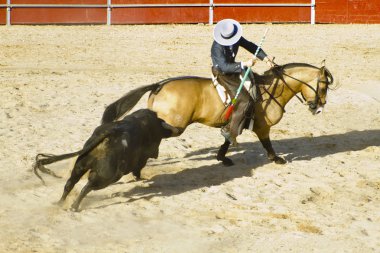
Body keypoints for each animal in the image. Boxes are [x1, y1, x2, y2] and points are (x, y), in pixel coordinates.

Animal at [33, 109, 176, 211]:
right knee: (87, 187)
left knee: (70, 184)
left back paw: (59, 203)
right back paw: (74, 207)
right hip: (107, 177)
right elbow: (138, 169)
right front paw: (140, 178)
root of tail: (109, 135)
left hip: (80, 166)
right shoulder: (142, 159)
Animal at [100, 62, 332, 166]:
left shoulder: (236, 123)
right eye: (322, 87)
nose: (319, 108)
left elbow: (228, 138)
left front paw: (222, 157)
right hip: (177, 124)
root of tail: (159, 85)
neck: (270, 90)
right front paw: (276, 159)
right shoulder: (262, 126)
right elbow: (267, 143)